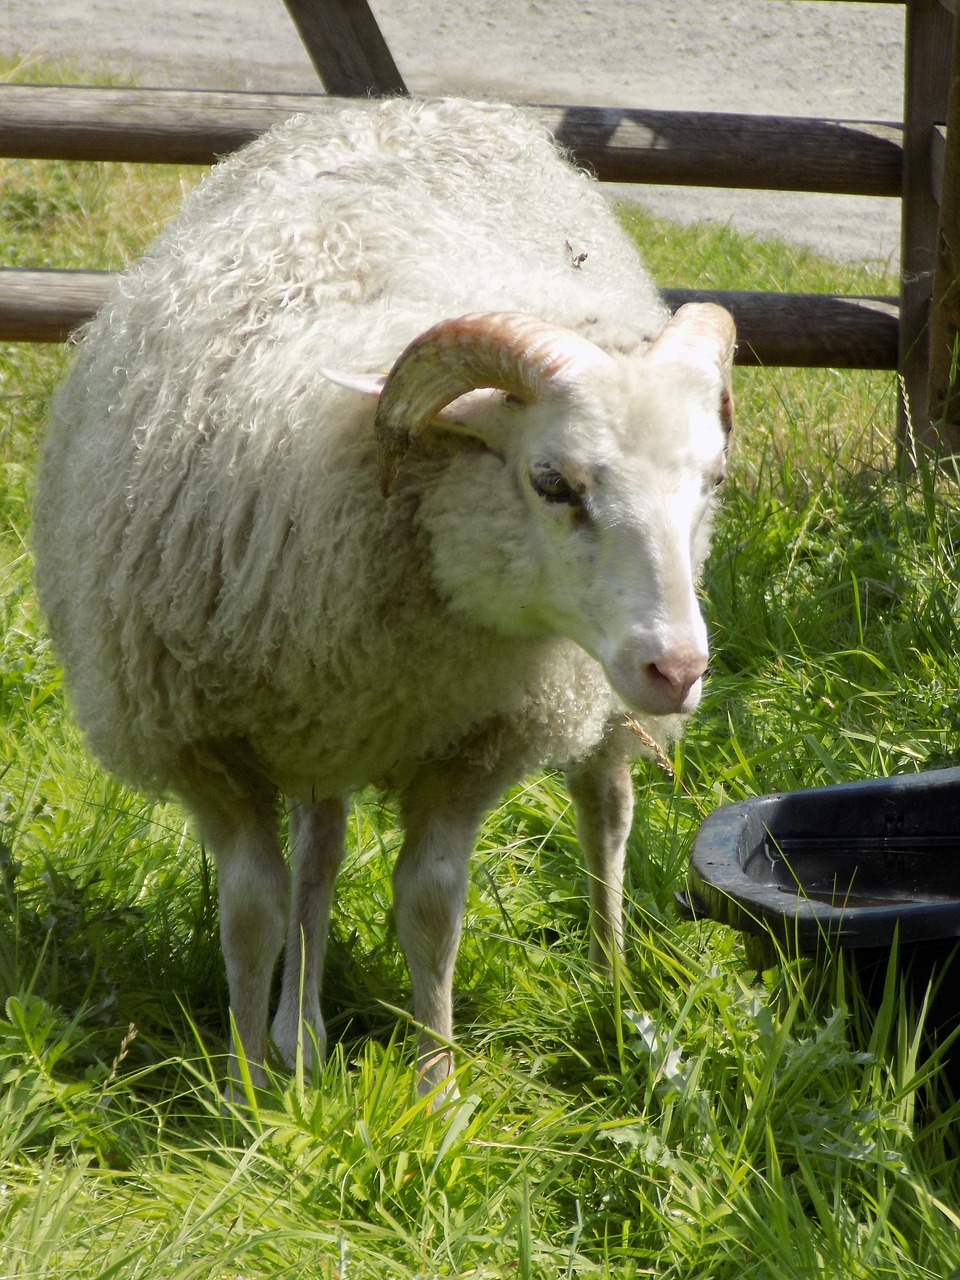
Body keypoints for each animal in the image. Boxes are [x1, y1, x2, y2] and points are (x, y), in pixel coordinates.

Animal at [32, 97, 737, 1100]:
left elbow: (431, 907)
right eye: (552, 481)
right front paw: (246, 1090)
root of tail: (401, 106)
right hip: (317, 715)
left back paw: (612, 980)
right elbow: (253, 907)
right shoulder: (203, 741)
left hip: (585, 697)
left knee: (605, 806)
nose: (678, 668)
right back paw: (299, 1034)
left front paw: (436, 1088)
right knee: (318, 853)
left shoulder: (478, 738)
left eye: (712, 481)